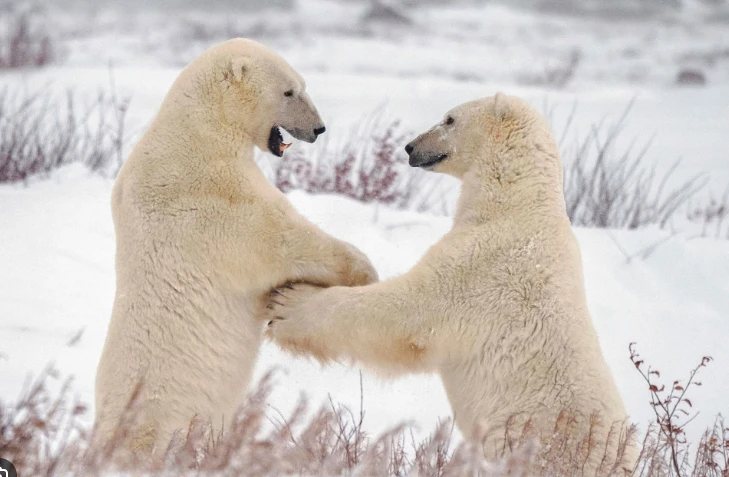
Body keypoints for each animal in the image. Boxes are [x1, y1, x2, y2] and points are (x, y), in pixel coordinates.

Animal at [92, 39, 376, 462]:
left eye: (301, 85)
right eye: (289, 91)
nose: (318, 128)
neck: (198, 132)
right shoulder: (215, 196)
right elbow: (281, 239)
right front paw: (364, 271)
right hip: (162, 415)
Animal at [266, 93, 632, 472]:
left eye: (450, 119)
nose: (410, 147)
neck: (520, 204)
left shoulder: (482, 268)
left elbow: (405, 313)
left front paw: (289, 304)